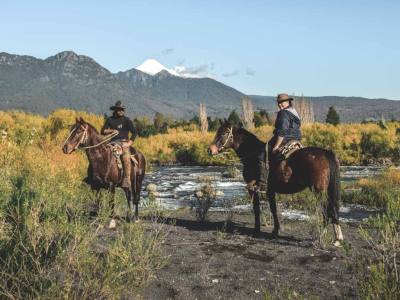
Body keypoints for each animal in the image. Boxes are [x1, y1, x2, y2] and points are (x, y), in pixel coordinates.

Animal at [209, 120, 344, 246]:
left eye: (224, 133)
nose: (210, 150)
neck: (252, 154)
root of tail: (326, 153)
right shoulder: (270, 190)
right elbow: (273, 209)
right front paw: (275, 231)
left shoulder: (253, 189)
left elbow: (257, 209)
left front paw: (257, 231)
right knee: (332, 209)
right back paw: (337, 238)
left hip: (319, 191)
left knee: (327, 210)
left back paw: (323, 237)